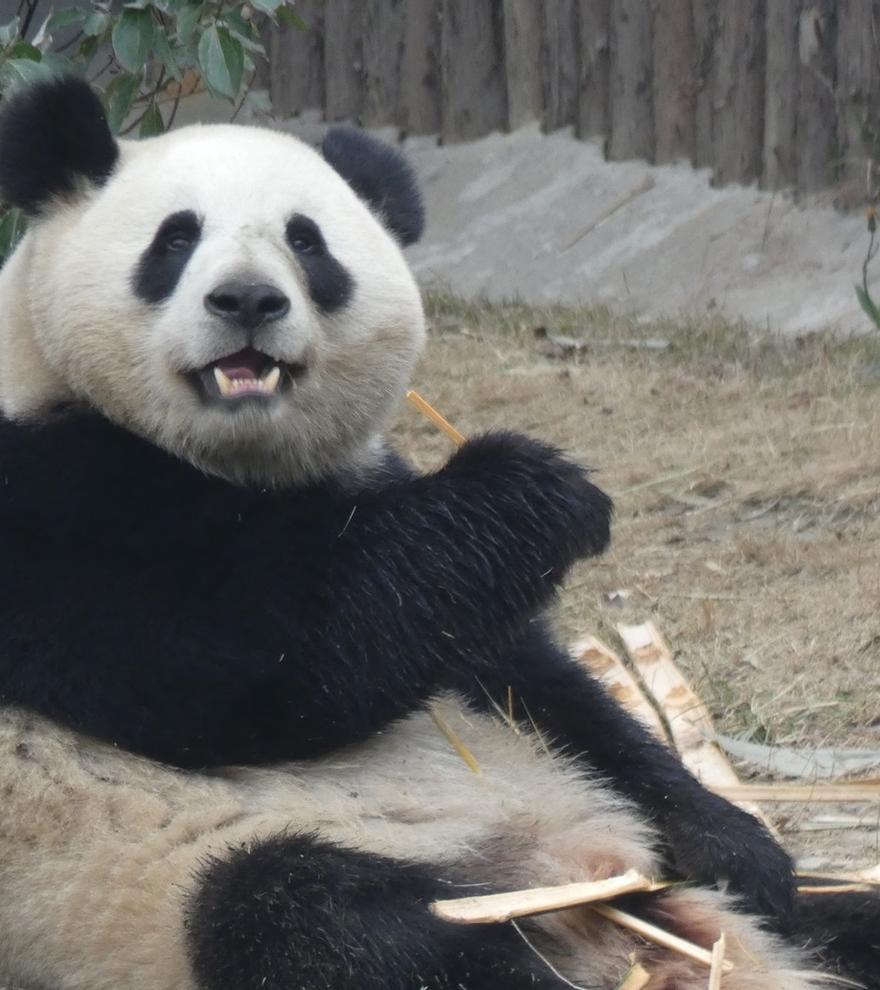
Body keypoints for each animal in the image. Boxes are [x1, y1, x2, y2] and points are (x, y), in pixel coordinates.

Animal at [0, 75, 876, 990]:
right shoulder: (45, 509)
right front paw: (539, 487)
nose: (247, 301)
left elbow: (540, 686)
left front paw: (741, 849)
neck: (235, 464)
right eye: (175, 238)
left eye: (307, 242)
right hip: (163, 885)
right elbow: (260, 669)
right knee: (313, 918)